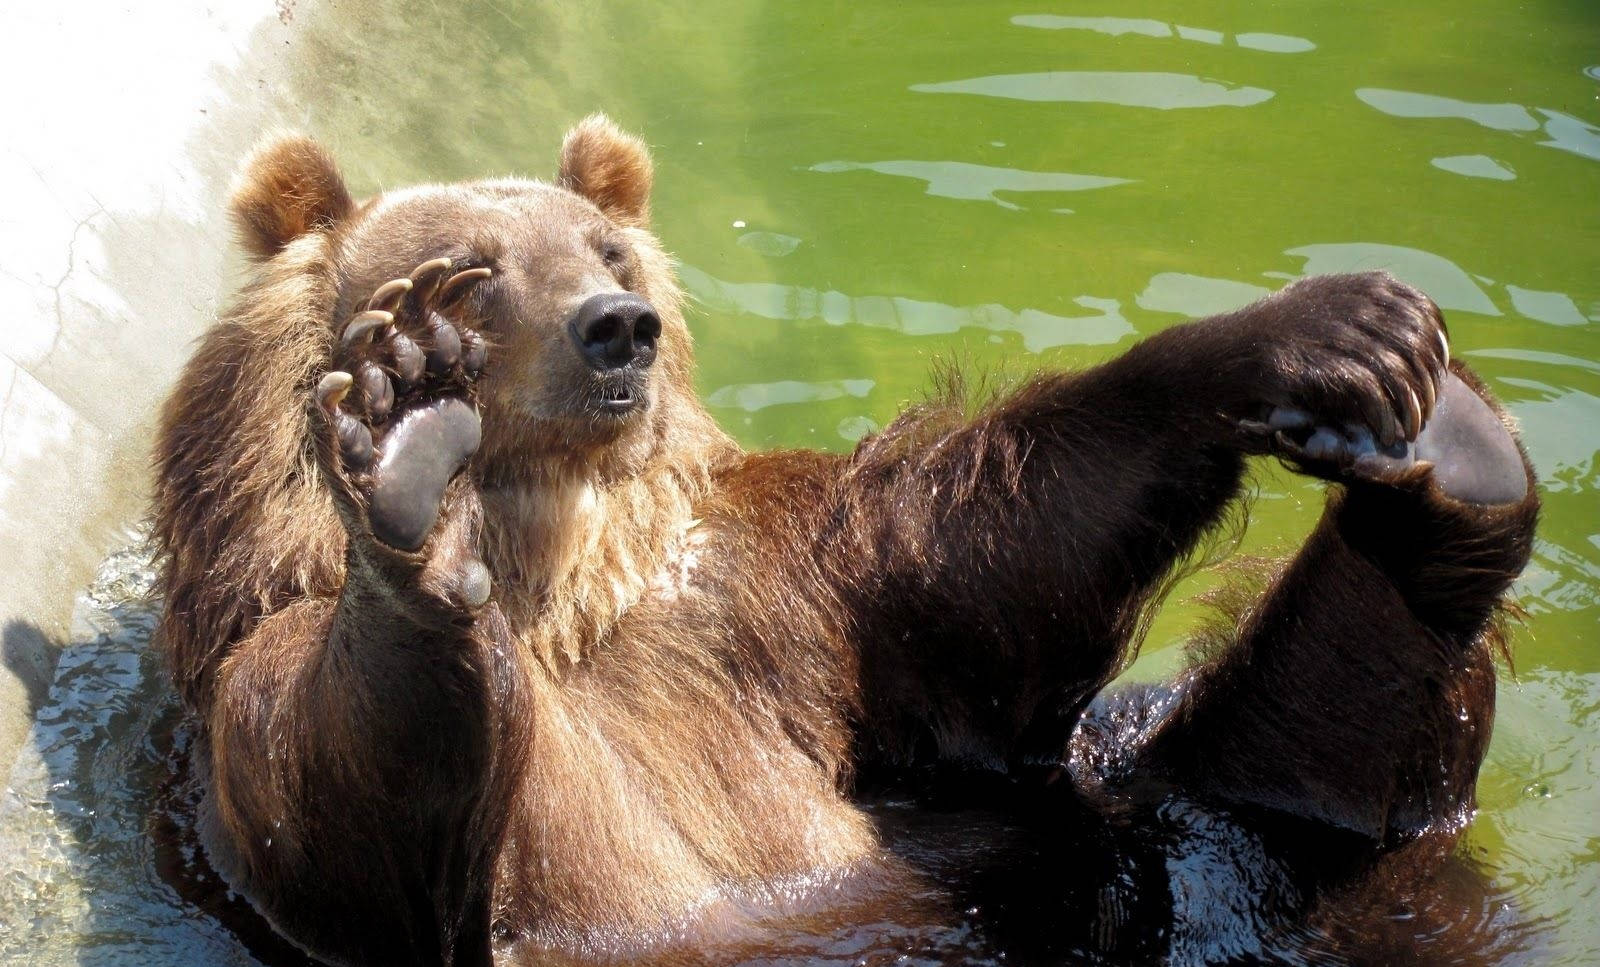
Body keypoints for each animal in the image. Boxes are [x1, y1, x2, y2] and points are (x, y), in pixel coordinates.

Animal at [150, 115, 1536, 967]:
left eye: (606, 250)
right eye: (474, 269)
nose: (616, 326)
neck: (566, 576)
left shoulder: (775, 599)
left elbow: (976, 564)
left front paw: (1316, 328)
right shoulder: (264, 709)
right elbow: (347, 789)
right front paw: (408, 450)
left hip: (1140, 823)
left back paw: (1450, 456)